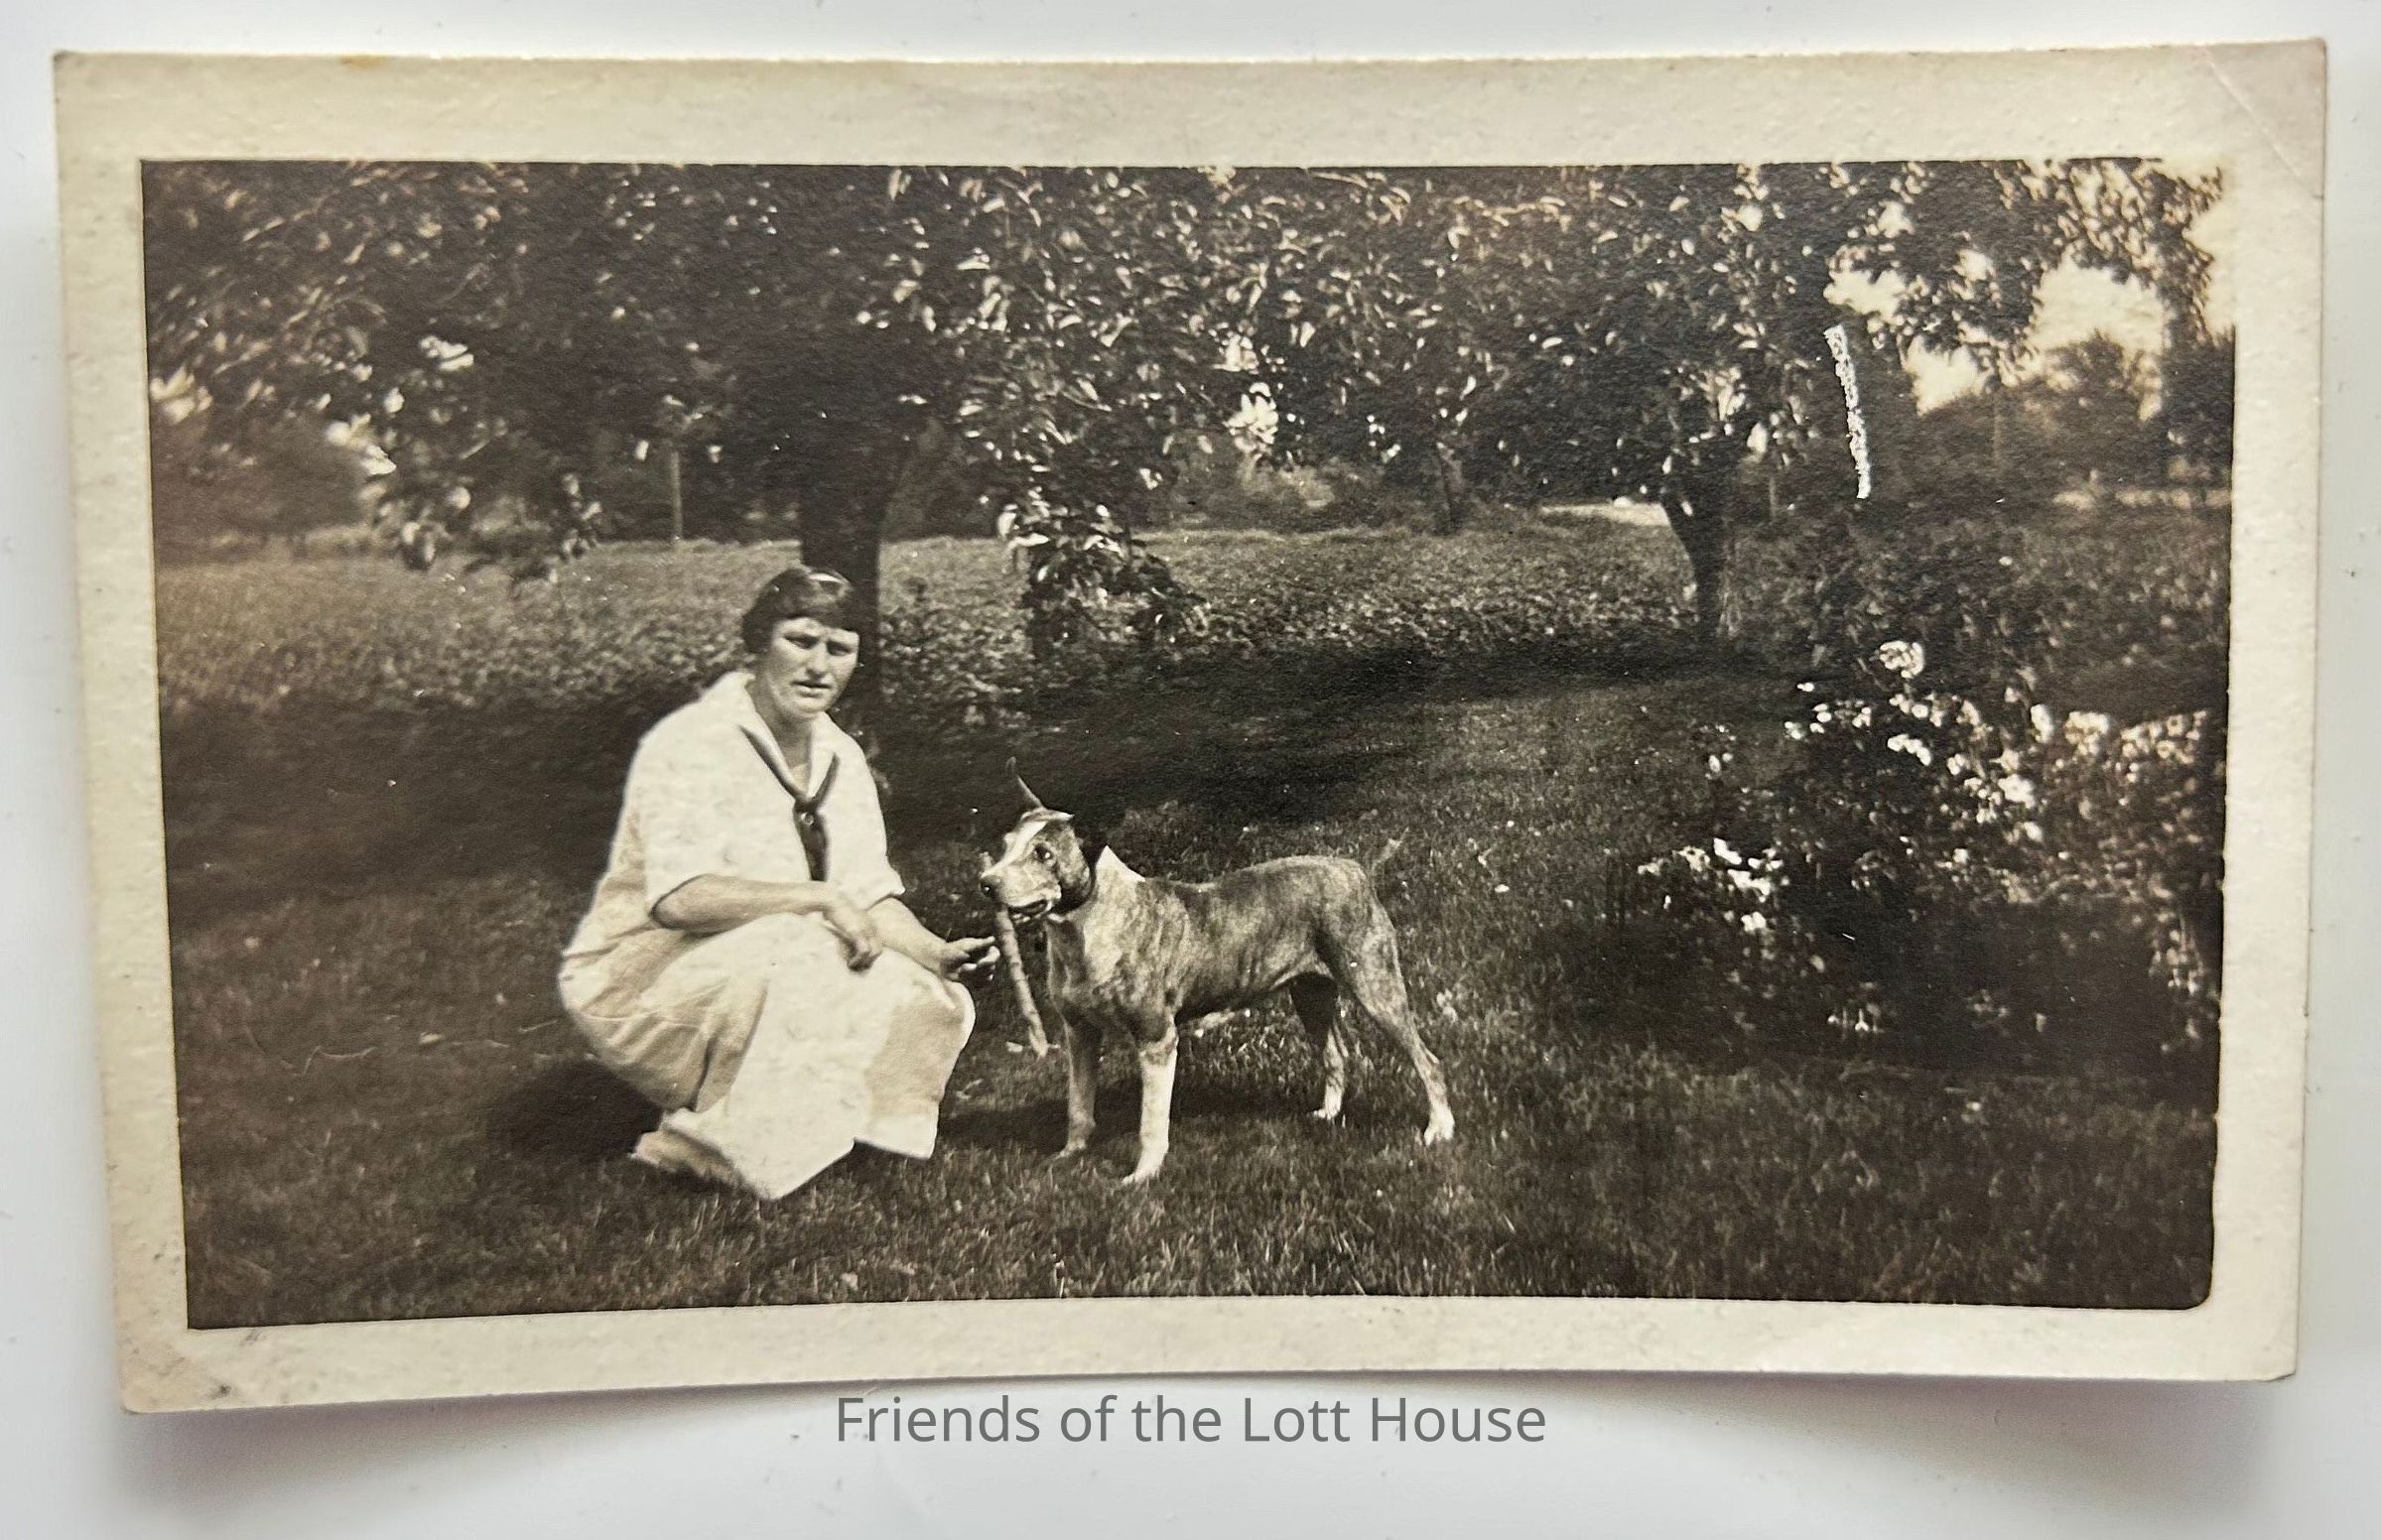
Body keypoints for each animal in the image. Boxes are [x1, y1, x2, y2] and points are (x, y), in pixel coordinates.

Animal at [979, 771, 1455, 1185]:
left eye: (1043, 853)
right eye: (1005, 845)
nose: (987, 883)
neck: (1086, 924)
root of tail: (1357, 870)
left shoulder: (1156, 1039)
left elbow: (1151, 1120)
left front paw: (1142, 1176)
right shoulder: (1078, 1033)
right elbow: (1078, 1104)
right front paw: (1068, 1155)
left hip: (1375, 986)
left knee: (1426, 1060)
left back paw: (1439, 1130)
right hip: (1310, 995)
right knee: (1336, 1053)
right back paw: (1327, 1115)